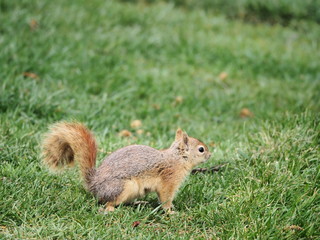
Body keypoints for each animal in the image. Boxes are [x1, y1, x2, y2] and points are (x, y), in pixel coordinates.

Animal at [41, 122, 211, 212]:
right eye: (201, 149)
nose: (210, 155)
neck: (177, 160)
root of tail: (93, 186)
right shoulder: (168, 180)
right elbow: (165, 198)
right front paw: (171, 212)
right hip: (123, 187)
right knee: (107, 202)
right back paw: (110, 210)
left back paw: (138, 203)